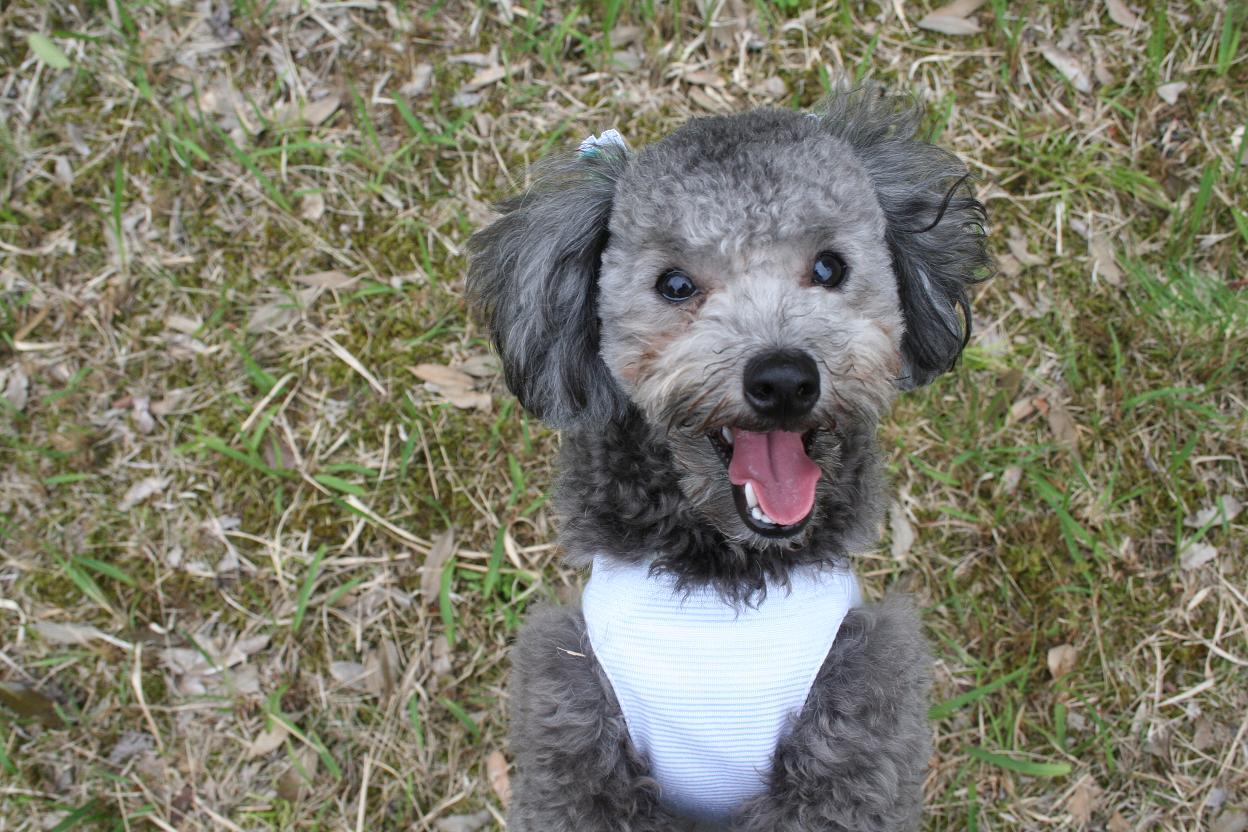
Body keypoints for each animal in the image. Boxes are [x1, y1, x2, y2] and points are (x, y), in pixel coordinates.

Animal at [467, 86, 990, 831]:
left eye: (829, 268)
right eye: (675, 284)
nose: (784, 379)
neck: (724, 582)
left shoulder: (856, 724)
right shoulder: (574, 718)